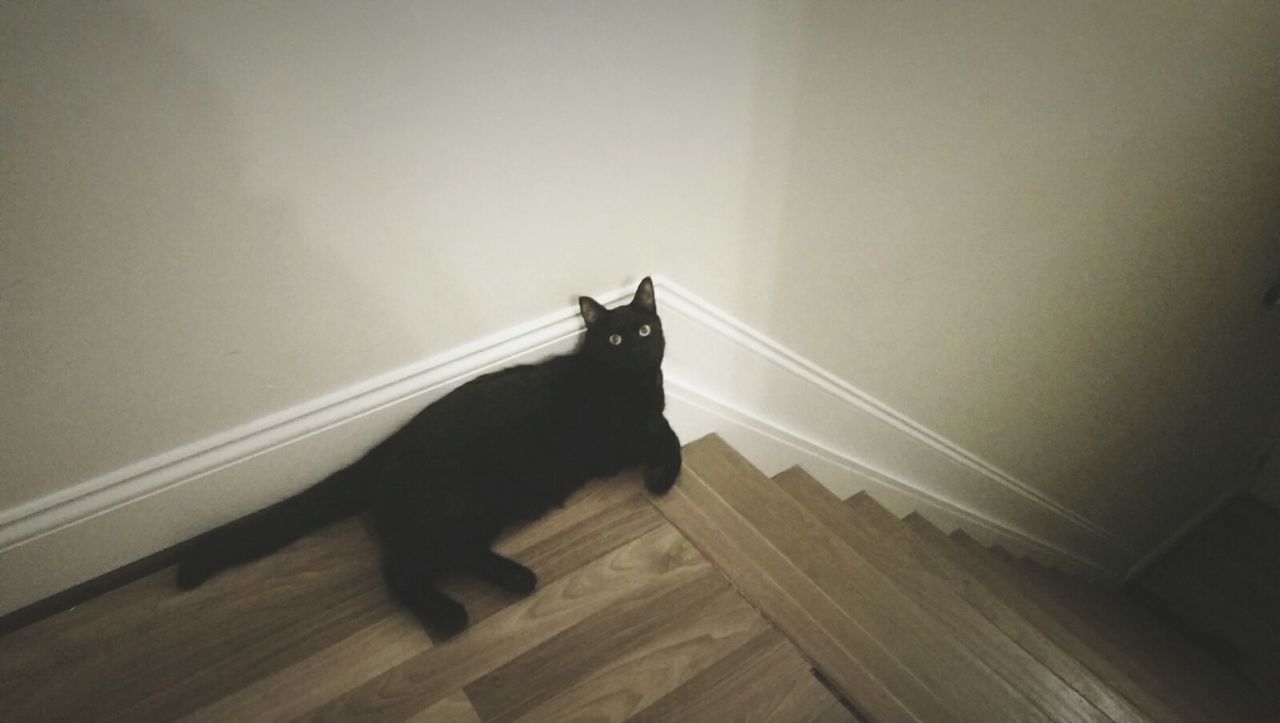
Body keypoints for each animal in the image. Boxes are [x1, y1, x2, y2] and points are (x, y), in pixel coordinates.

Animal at [177, 278, 691, 634]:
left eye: (645, 328)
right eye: (615, 340)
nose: (638, 347)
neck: (635, 386)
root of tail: (382, 451)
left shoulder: (642, 422)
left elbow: (666, 430)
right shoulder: (616, 441)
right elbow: (669, 439)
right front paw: (661, 479)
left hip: (483, 510)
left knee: (456, 553)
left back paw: (513, 579)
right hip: (461, 503)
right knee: (398, 569)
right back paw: (451, 616)